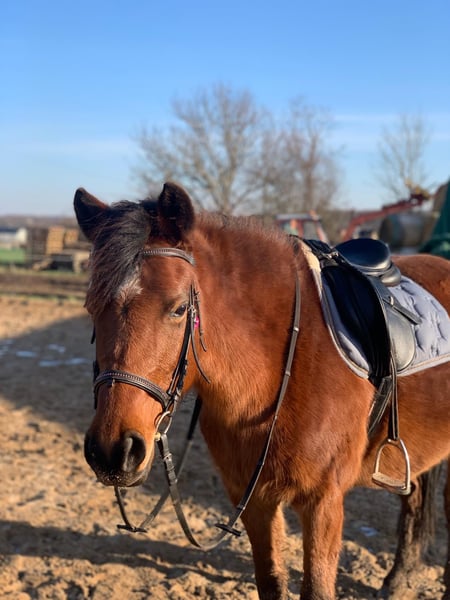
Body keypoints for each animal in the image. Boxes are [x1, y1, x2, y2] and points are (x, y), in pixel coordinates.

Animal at [74, 182, 450, 600]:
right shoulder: (253, 499)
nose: (113, 451)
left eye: (178, 309)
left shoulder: (323, 503)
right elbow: (271, 580)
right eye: (91, 308)